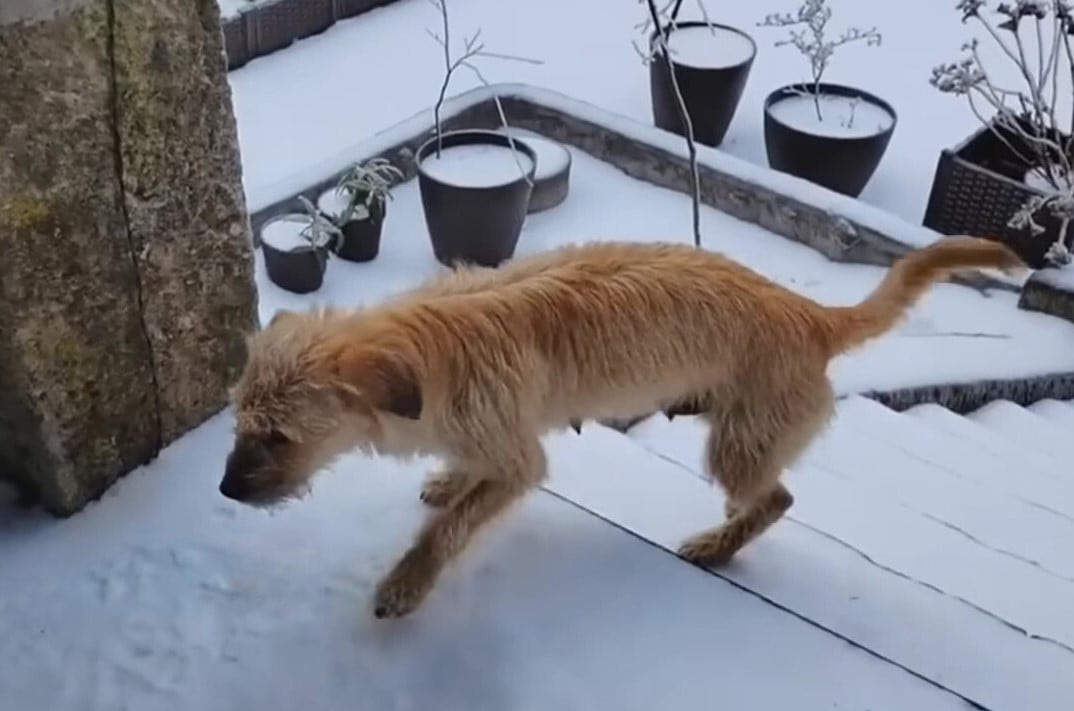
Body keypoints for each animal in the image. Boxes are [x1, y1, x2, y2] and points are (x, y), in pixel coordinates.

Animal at [218, 238, 1022, 618]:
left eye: (280, 437)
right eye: (240, 422)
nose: (224, 492)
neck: (430, 347)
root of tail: (813, 315)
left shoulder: (521, 462)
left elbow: (448, 530)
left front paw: (406, 583)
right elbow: (462, 486)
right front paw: (448, 478)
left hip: (737, 443)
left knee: (777, 498)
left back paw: (719, 545)